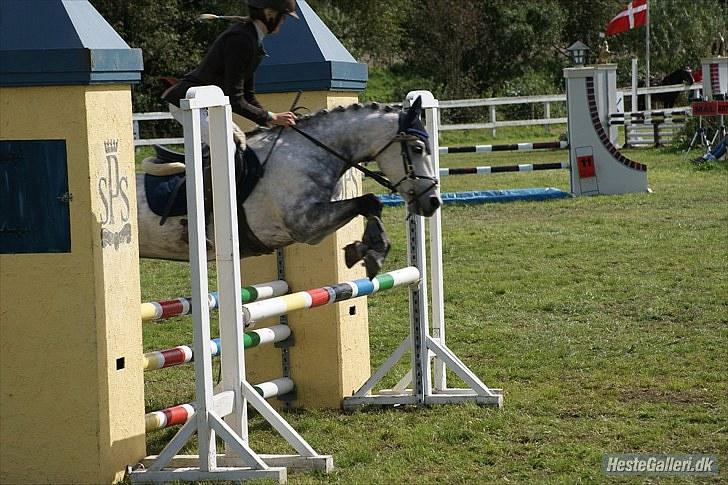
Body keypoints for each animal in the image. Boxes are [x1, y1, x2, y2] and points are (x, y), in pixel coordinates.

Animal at [136, 97, 441, 277]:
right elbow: (367, 201)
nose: (433, 202)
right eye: (417, 149)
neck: (308, 151)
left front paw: (367, 249)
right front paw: (372, 252)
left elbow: (370, 205)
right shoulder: (304, 225)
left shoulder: (314, 228)